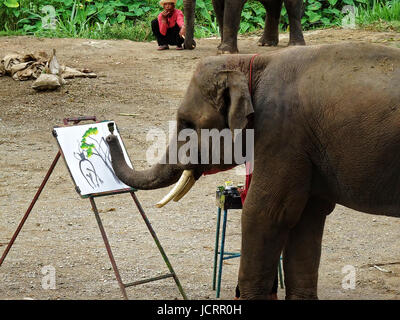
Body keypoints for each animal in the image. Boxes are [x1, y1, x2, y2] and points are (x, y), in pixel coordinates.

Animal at [106, 41, 400, 298]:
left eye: (187, 123)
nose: (109, 132)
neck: (252, 62)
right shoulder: (307, 149)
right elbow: (308, 216)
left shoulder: (282, 134)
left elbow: (265, 212)